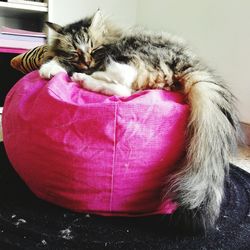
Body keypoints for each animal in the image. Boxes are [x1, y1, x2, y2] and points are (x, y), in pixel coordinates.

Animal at [40, 9, 241, 232]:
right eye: (76, 53)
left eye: (95, 49)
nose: (86, 63)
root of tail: (188, 64)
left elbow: (61, 63)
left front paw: (49, 69)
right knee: (123, 89)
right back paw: (85, 79)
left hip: (130, 55)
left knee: (122, 77)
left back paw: (84, 78)